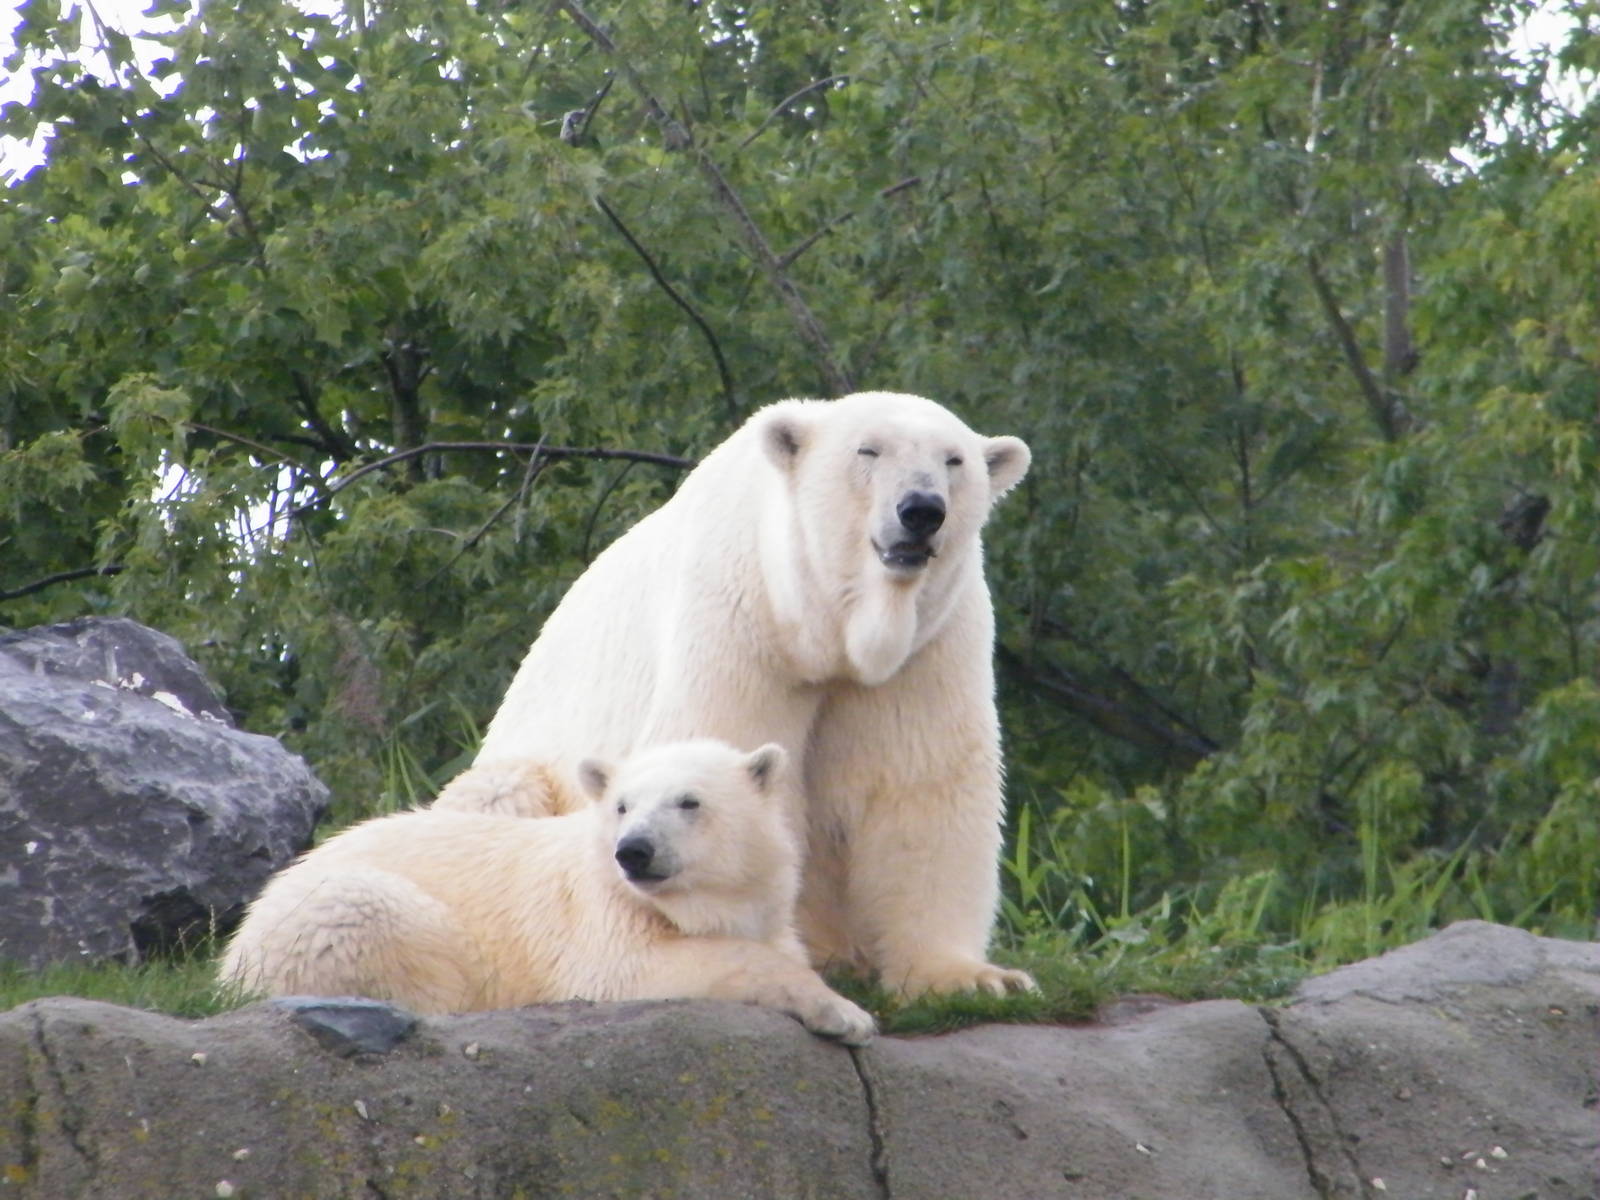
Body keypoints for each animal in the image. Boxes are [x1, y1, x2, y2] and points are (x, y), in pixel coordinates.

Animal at [218, 739, 876, 1044]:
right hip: (339, 911)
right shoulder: (600, 916)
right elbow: (634, 971)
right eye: (622, 805)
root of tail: (234, 951)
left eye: (689, 802)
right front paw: (846, 1014)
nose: (634, 850)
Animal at [435, 391, 1034, 997]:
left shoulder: (927, 647)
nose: (922, 510)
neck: (818, 627)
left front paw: (971, 977)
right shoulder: (739, 618)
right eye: (868, 450)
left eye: (954, 460)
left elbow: (919, 781)